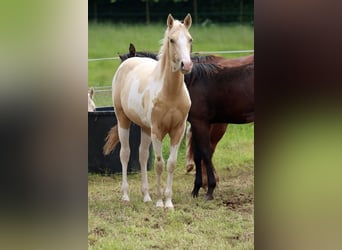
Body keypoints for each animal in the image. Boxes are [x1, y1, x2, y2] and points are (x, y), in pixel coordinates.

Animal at [102, 13, 192, 209]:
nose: (186, 65)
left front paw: (168, 202)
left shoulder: (178, 130)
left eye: (190, 39)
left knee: (142, 156)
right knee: (125, 154)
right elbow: (159, 164)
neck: (170, 93)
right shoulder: (157, 131)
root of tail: (128, 61)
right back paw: (126, 196)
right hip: (123, 120)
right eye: (172, 40)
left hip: (145, 128)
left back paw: (146, 196)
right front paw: (159, 202)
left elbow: (171, 164)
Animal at [117, 42, 254, 199]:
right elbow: (198, 154)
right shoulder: (196, 123)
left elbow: (205, 153)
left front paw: (210, 190)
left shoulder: (200, 122)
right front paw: (196, 189)